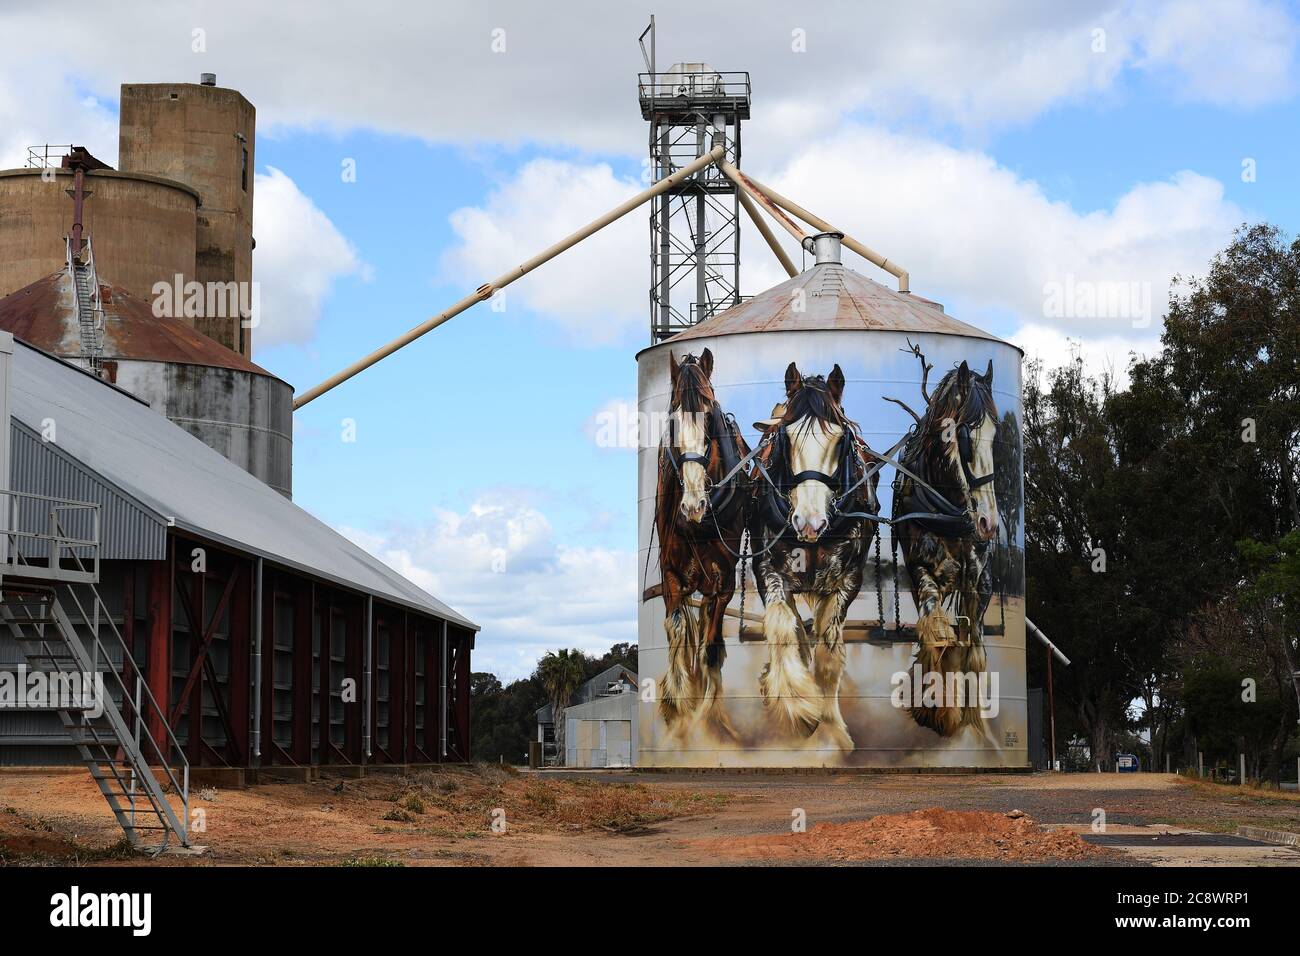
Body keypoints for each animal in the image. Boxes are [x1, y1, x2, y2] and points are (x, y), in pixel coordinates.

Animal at [889, 348, 998, 738]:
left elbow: (973, 645)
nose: (988, 522)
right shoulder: (920, 567)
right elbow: (935, 629)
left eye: (997, 434)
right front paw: (934, 709)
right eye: (963, 435)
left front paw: (973, 717)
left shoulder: (977, 575)